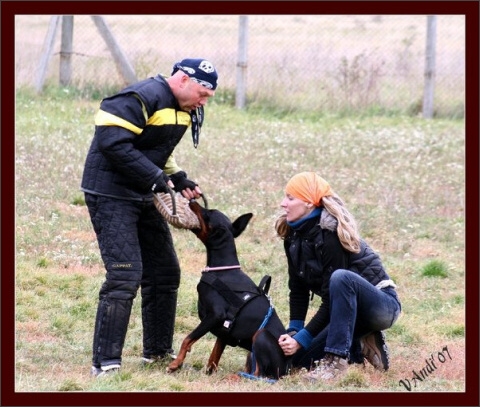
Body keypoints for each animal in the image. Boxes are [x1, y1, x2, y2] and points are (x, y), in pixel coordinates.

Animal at [167, 202, 290, 380]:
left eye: (207, 213)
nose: (192, 202)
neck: (222, 270)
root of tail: (287, 368)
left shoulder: (215, 315)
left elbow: (187, 339)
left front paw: (176, 364)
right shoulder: (224, 330)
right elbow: (213, 358)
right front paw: (208, 374)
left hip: (260, 335)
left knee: (260, 374)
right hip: (251, 352)